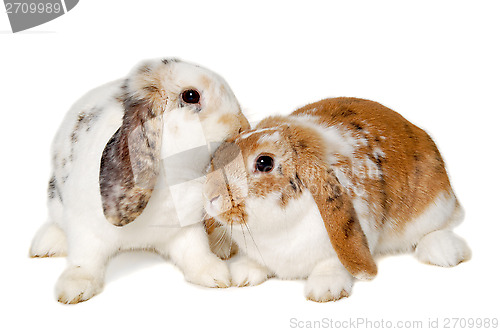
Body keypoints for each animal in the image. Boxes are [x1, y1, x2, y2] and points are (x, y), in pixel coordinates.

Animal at [29, 57, 250, 304]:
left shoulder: (185, 228)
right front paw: (74, 287)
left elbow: (195, 251)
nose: (242, 126)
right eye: (191, 96)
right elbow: (84, 260)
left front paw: (215, 274)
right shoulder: (85, 229)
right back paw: (46, 244)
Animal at [202, 96, 468, 304]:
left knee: (438, 228)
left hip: (433, 206)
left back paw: (443, 252)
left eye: (264, 162)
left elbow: (333, 262)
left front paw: (325, 290)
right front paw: (244, 273)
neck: (275, 229)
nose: (210, 196)